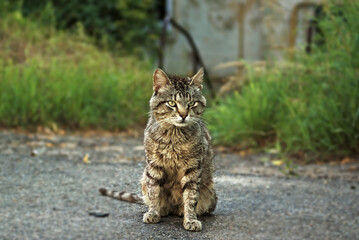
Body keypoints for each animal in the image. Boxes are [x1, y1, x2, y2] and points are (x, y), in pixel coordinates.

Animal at [99, 67, 217, 231]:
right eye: (172, 103)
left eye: (192, 103)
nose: (183, 115)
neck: (174, 137)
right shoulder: (154, 166)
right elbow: (154, 192)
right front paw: (153, 213)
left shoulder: (193, 168)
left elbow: (191, 196)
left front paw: (190, 219)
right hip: (144, 178)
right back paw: (163, 209)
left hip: (210, 195)